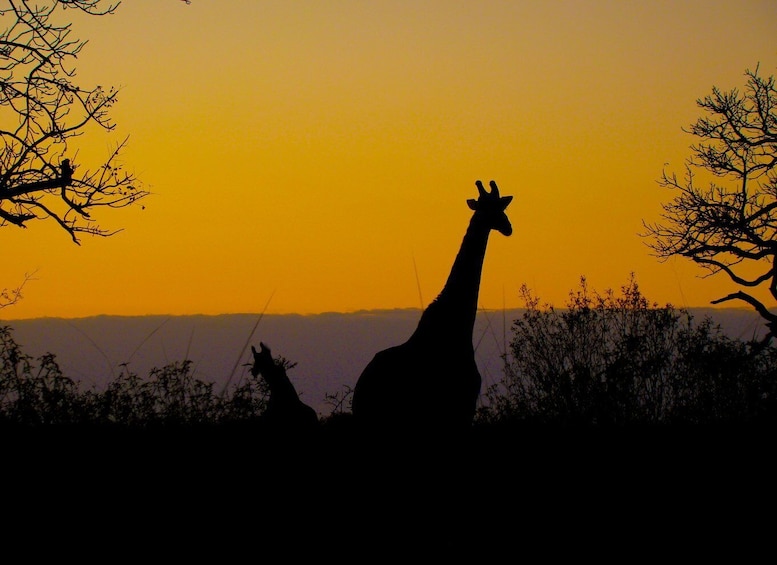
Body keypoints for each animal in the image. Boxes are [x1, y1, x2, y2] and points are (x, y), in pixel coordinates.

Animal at [354, 178, 512, 438]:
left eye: (501, 205)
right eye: (489, 207)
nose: (508, 227)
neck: (457, 324)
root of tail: (359, 391)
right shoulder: (461, 409)